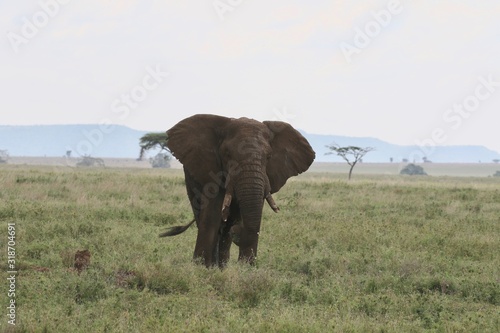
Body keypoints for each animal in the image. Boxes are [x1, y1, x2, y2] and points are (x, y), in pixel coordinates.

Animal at [160, 114, 314, 268]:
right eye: (227, 154)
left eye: (269, 157)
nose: (237, 232)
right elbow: (212, 213)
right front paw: (201, 267)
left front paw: (244, 269)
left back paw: (222, 266)